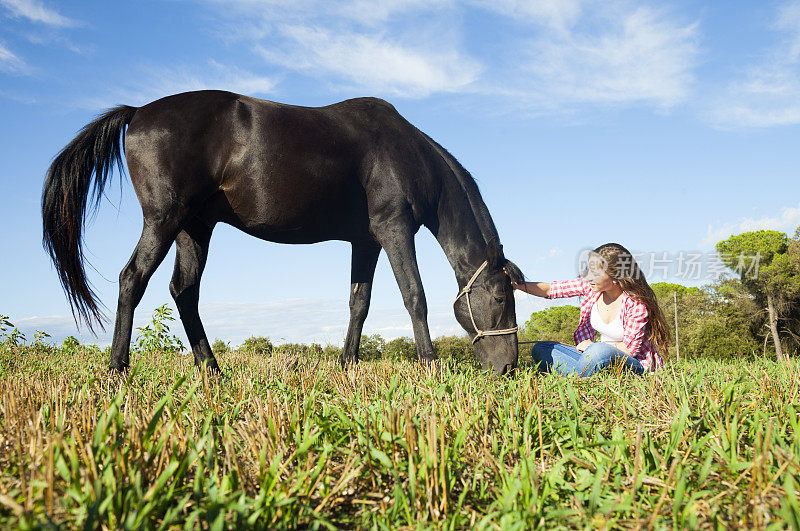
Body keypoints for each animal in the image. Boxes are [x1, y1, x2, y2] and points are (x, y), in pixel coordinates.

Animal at [42, 90, 524, 374]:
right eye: (501, 298)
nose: (508, 367)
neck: (406, 155)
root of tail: (138, 113)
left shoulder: (366, 241)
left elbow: (360, 303)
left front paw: (347, 366)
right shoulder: (395, 229)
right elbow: (414, 295)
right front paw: (430, 366)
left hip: (193, 228)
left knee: (184, 291)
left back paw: (212, 371)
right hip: (163, 220)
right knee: (132, 280)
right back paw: (117, 371)